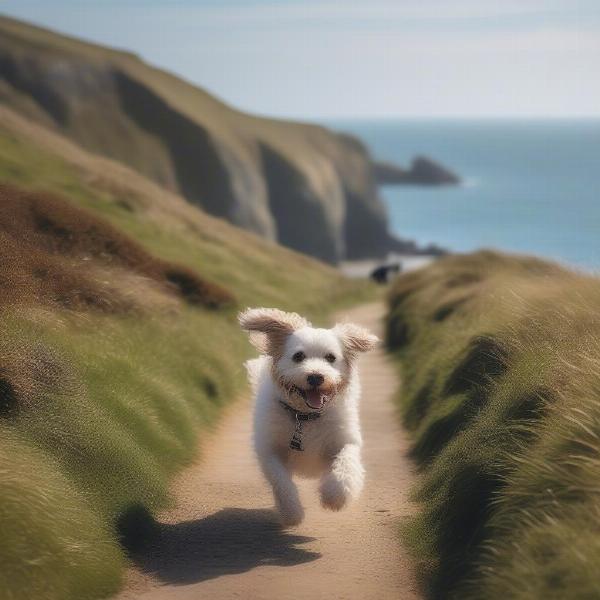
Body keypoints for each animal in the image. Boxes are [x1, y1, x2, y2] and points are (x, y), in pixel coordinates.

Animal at [238, 308, 376, 528]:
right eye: (298, 356)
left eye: (330, 357)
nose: (316, 376)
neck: (304, 417)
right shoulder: (269, 449)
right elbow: (281, 481)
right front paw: (292, 512)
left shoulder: (346, 439)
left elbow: (346, 464)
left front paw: (335, 496)